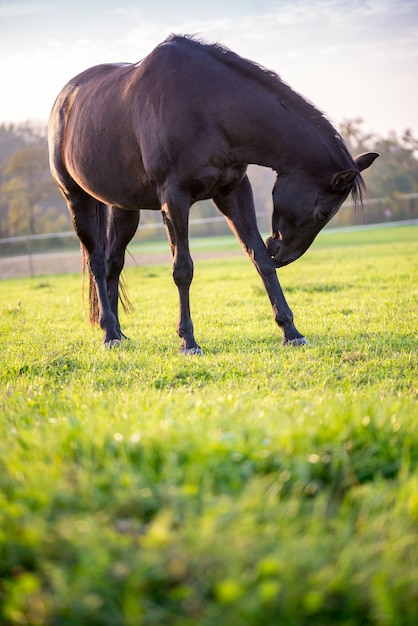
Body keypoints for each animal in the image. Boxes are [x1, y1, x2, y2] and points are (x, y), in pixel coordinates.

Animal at [49, 35, 378, 352]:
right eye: (323, 212)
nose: (284, 255)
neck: (206, 108)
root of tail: (63, 100)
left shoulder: (233, 192)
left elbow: (260, 259)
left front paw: (291, 332)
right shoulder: (174, 199)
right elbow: (183, 269)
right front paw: (188, 341)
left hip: (124, 207)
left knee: (114, 263)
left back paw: (118, 333)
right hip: (76, 198)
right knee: (97, 262)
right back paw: (108, 333)